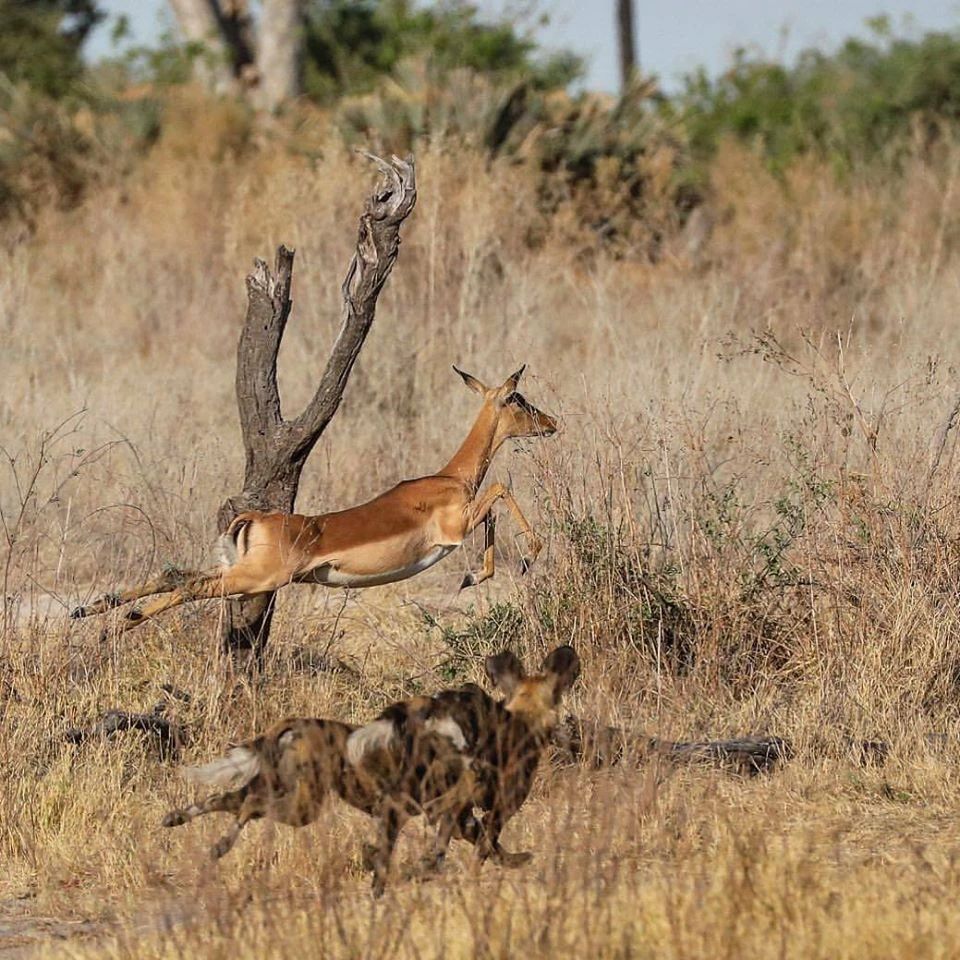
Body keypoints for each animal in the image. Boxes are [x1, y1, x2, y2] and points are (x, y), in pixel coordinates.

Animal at [160, 644, 576, 900]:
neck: (520, 721)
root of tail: (293, 724)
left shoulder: (458, 815)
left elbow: (487, 847)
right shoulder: (488, 809)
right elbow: (483, 848)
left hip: (289, 793)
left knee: (229, 799)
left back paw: (183, 824)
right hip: (308, 807)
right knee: (249, 807)